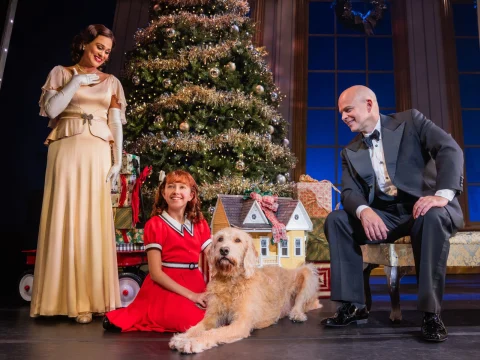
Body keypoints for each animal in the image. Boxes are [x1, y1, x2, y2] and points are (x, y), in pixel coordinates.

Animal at [167, 226, 320, 352]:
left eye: (237, 240)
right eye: (220, 239)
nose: (224, 250)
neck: (230, 281)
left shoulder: (241, 323)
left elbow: (214, 332)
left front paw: (193, 342)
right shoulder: (213, 317)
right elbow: (198, 327)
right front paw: (182, 337)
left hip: (307, 271)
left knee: (301, 302)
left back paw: (297, 314)